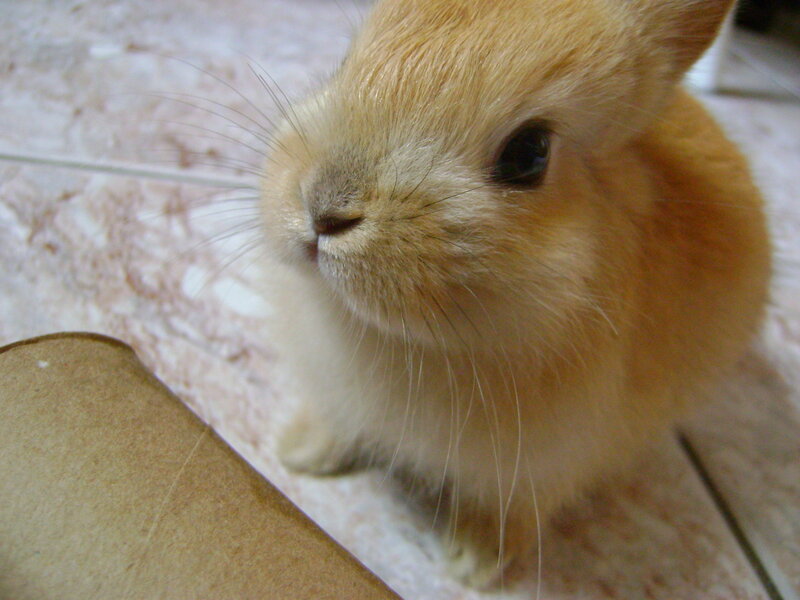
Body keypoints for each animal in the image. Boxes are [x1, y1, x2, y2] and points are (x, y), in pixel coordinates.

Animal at [260, 0, 771, 588]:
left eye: (530, 154)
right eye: (344, 63)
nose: (323, 210)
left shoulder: (548, 462)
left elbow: (511, 506)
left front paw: (474, 564)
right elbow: (338, 421)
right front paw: (300, 452)